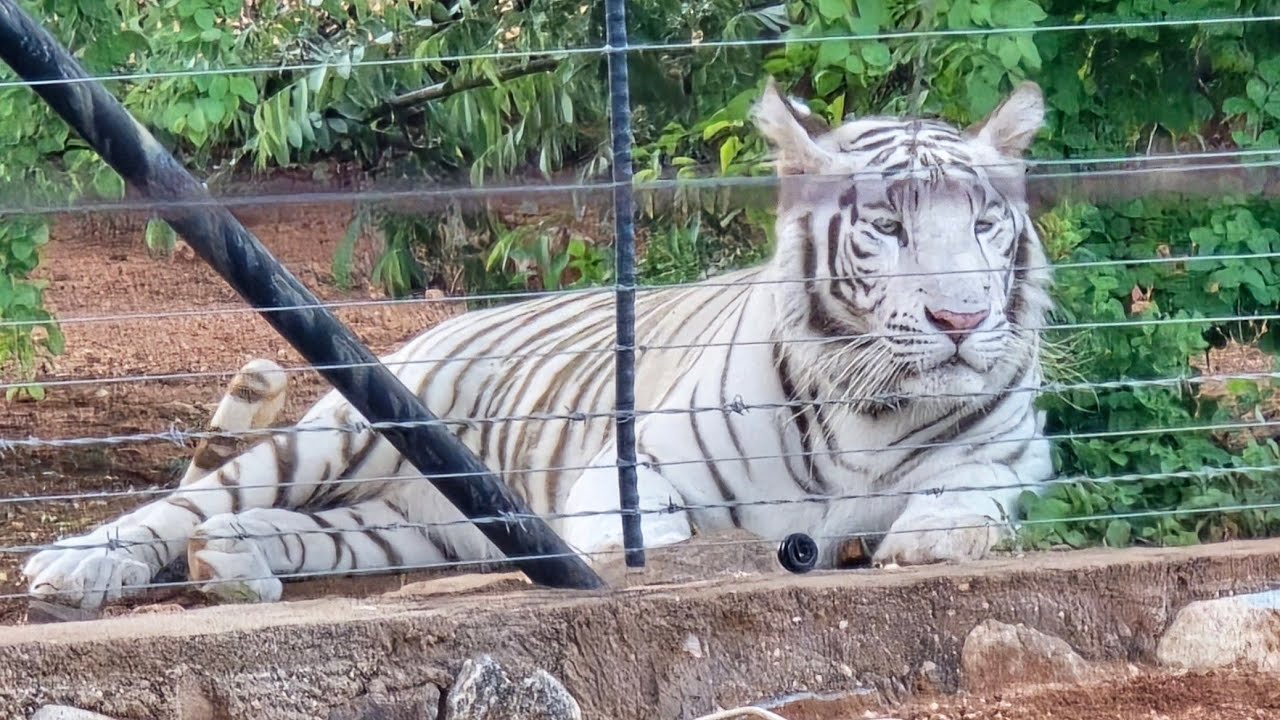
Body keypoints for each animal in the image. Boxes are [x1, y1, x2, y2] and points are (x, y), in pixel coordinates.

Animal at [22, 78, 1054, 609]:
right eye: (887, 226)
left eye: (984, 224)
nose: (964, 321)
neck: (875, 408)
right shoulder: (634, 461)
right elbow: (649, 531)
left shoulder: (1022, 456)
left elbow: (968, 495)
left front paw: (916, 538)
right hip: (345, 432)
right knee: (191, 502)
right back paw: (76, 568)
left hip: (405, 528)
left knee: (274, 530)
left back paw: (234, 565)